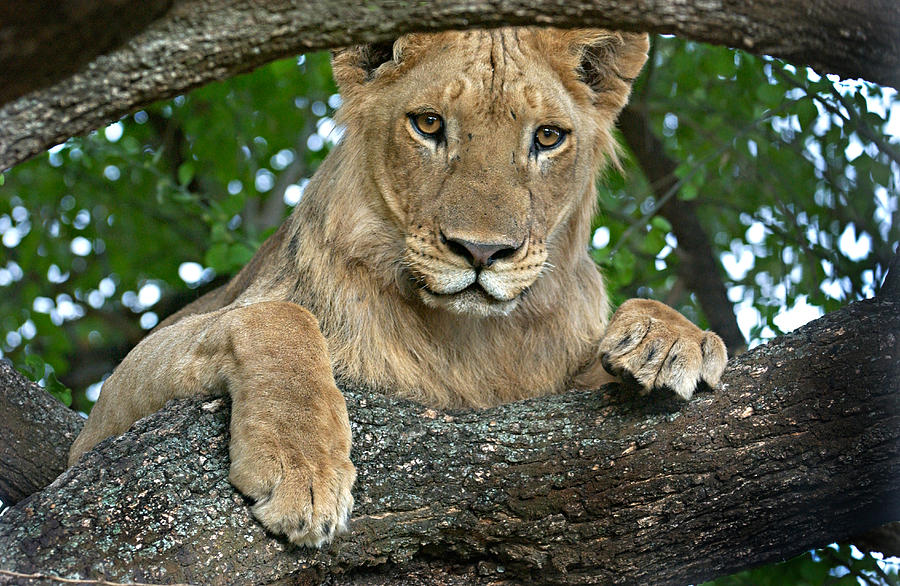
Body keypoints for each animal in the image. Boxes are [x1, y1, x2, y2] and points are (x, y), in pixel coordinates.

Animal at [70, 27, 732, 548]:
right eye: (429, 124)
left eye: (547, 137)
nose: (482, 252)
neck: (471, 337)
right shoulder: (92, 435)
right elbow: (278, 317)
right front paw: (302, 466)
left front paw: (670, 338)